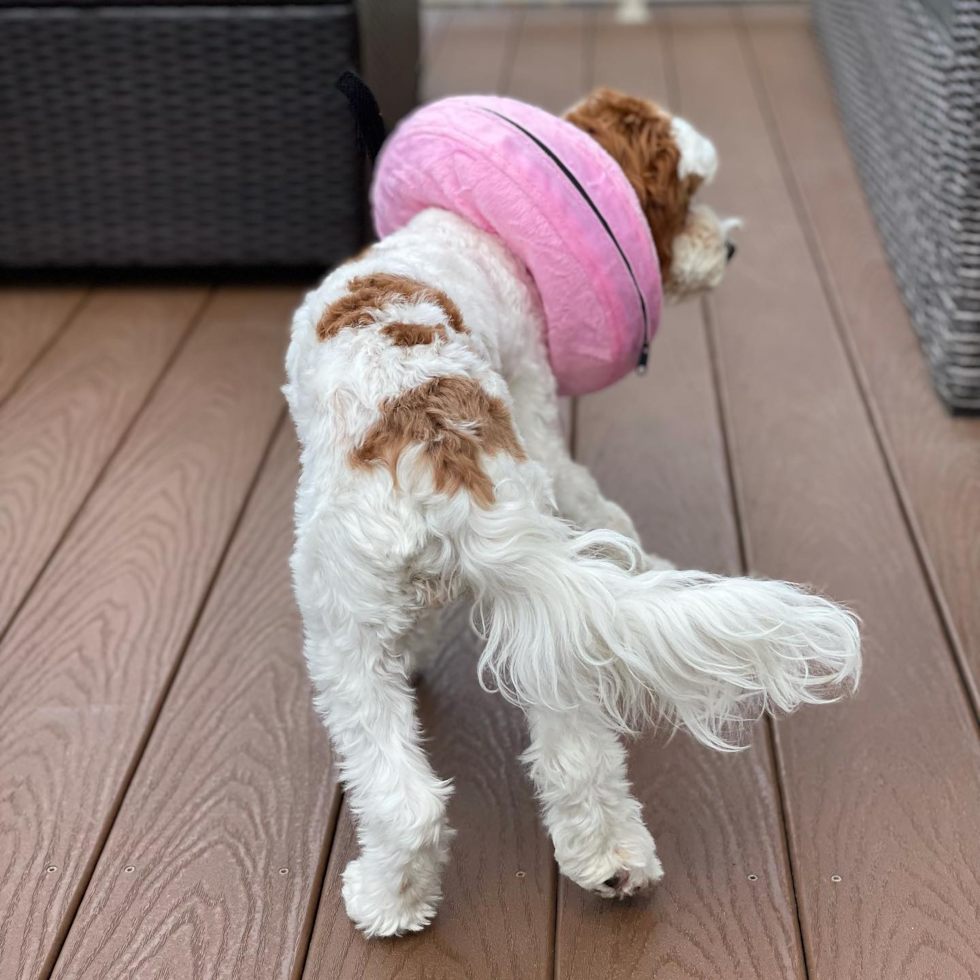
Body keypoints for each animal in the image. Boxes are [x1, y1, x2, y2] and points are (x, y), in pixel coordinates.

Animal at [282, 88, 856, 936]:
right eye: (686, 193)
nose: (728, 249)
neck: (477, 233)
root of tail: (446, 460)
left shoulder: (528, 390)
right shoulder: (536, 420)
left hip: (339, 629)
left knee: (409, 801)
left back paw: (388, 900)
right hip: (537, 617)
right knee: (579, 750)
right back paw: (614, 862)